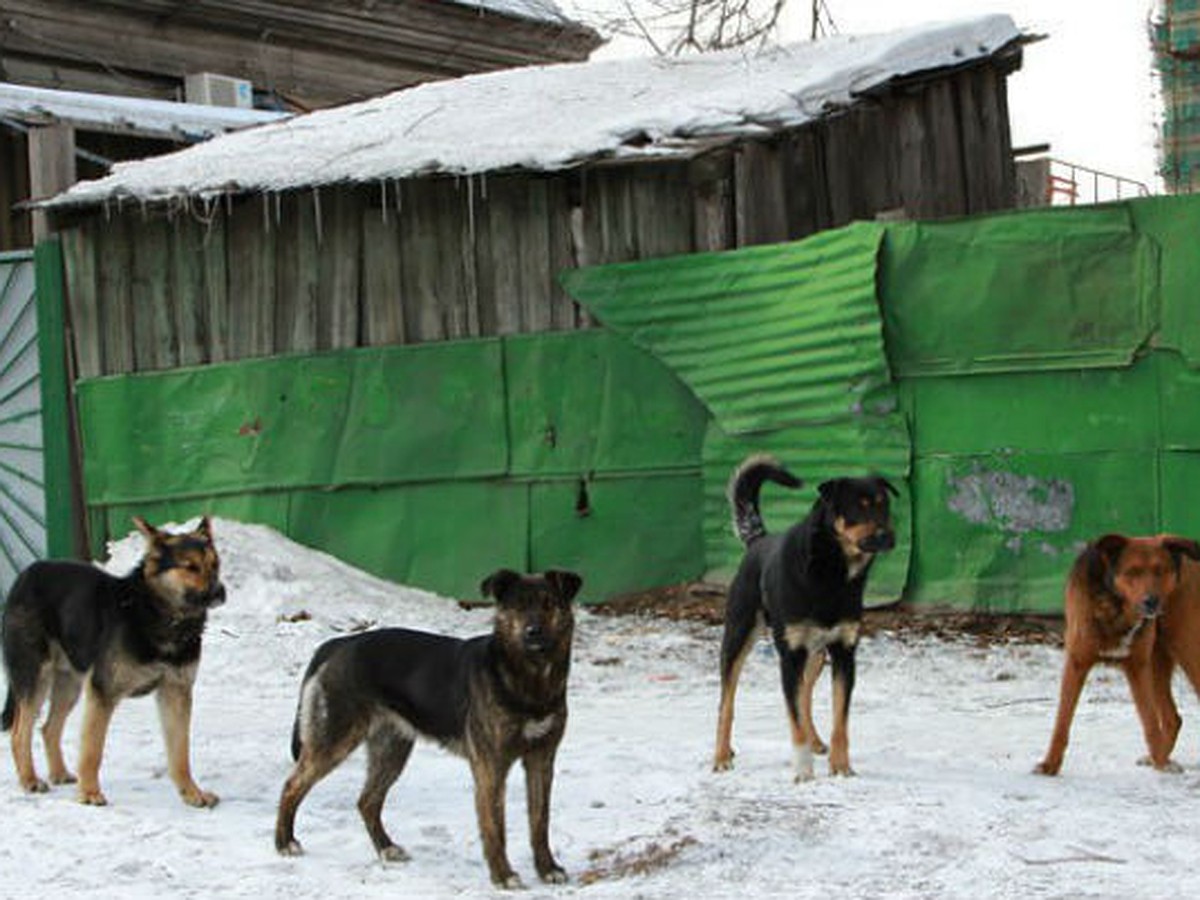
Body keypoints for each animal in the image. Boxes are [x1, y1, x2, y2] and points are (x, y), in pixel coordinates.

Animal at [1, 518, 226, 806]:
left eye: (215, 565)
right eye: (190, 567)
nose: (220, 592)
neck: (157, 613)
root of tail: (25, 575)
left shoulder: (176, 692)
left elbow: (180, 753)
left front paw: (192, 793)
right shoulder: (102, 692)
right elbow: (92, 749)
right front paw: (89, 793)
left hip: (69, 684)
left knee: (49, 728)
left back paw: (59, 773)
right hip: (35, 677)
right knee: (20, 732)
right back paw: (30, 780)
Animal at [277, 566, 585, 892]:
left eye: (549, 604)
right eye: (517, 606)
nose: (533, 632)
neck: (531, 679)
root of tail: (339, 644)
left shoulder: (542, 759)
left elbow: (540, 822)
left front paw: (547, 868)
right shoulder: (491, 766)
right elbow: (495, 827)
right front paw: (503, 875)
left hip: (391, 749)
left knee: (367, 801)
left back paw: (386, 848)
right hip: (334, 740)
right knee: (292, 785)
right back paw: (284, 842)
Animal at [705, 458, 897, 782]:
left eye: (884, 506)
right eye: (858, 508)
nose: (889, 537)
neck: (832, 572)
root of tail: (758, 541)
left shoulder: (844, 653)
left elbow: (839, 721)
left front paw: (841, 767)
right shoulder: (790, 655)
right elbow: (793, 719)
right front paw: (804, 773)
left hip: (817, 654)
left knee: (805, 694)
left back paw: (815, 741)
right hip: (738, 637)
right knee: (725, 703)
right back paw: (721, 756)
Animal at [1036, 532, 1195, 777]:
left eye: (1160, 570)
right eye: (1132, 571)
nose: (1152, 601)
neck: (1116, 608)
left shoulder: (1137, 667)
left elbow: (1150, 725)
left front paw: (1161, 763)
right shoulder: (1077, 663)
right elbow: (1061, 723)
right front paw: (1050, 765)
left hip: (1186, 649)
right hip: (1157, 660)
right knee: (1172, 718)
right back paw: (1158, 759)